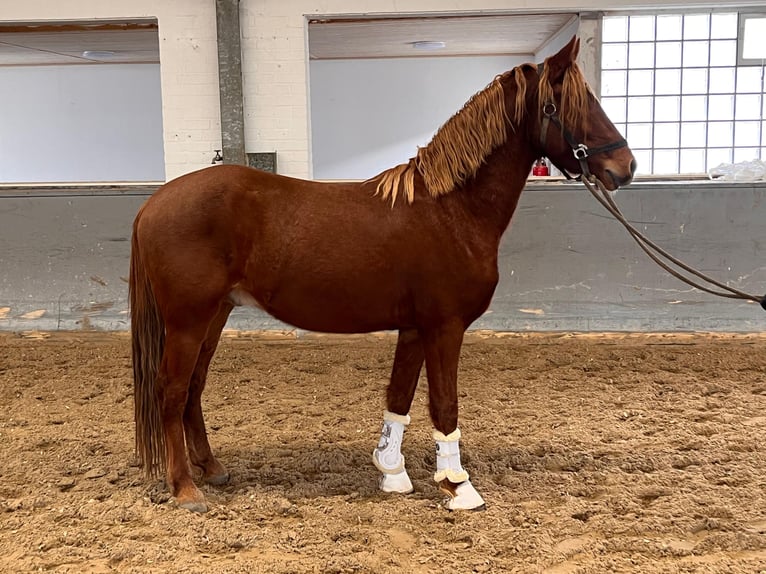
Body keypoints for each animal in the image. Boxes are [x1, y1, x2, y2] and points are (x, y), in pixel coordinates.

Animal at [130, 36, 636, 512]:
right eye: (570, 104)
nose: (625, 167)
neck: (451, 209)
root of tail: (154, 203)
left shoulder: (414, 328)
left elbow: (400, 398)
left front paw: (392, 472)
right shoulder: (445, 327)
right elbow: (444, 405)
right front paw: (457, 486)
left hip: (214, 315)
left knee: (193, 389)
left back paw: (212, 468)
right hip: (188, 320)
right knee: (170, 391)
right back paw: (185, 487)